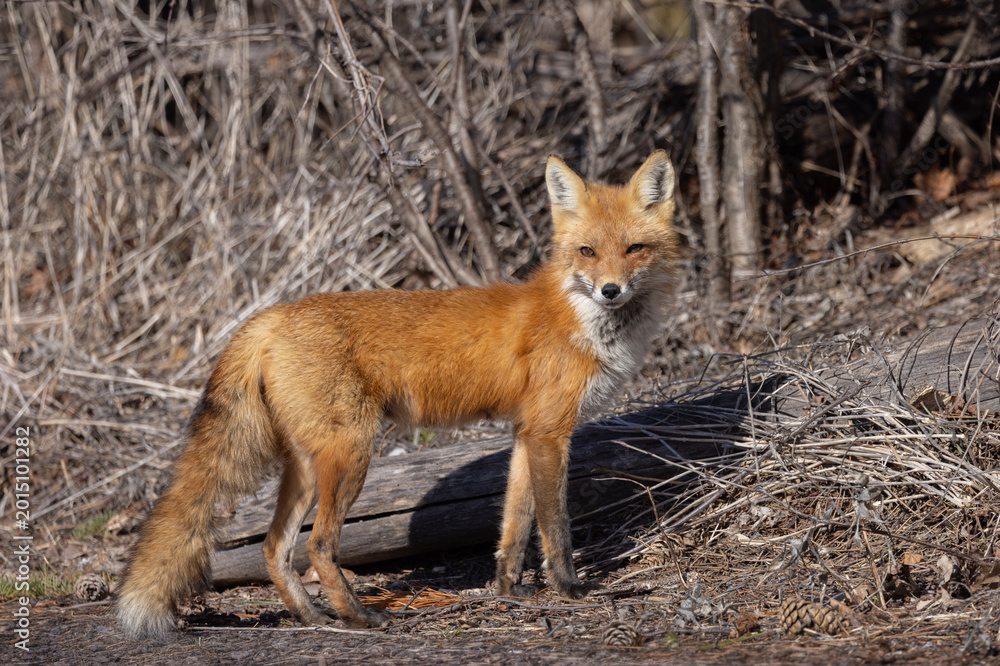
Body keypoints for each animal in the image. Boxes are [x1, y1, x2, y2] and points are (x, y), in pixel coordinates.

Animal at [116, 151, 678, 637]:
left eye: (634, 249)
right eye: (587, 251)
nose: (611, 290)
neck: (579, 316)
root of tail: (272, 315)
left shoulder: (526, 432)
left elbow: (513, 525)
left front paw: (508, 592)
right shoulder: (550, 433)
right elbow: (555, 525)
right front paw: (569, 590)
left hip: (306, 465)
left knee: (274, 548)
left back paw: (314, 619)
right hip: (350, 455)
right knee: (318, 546)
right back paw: (360, 617)